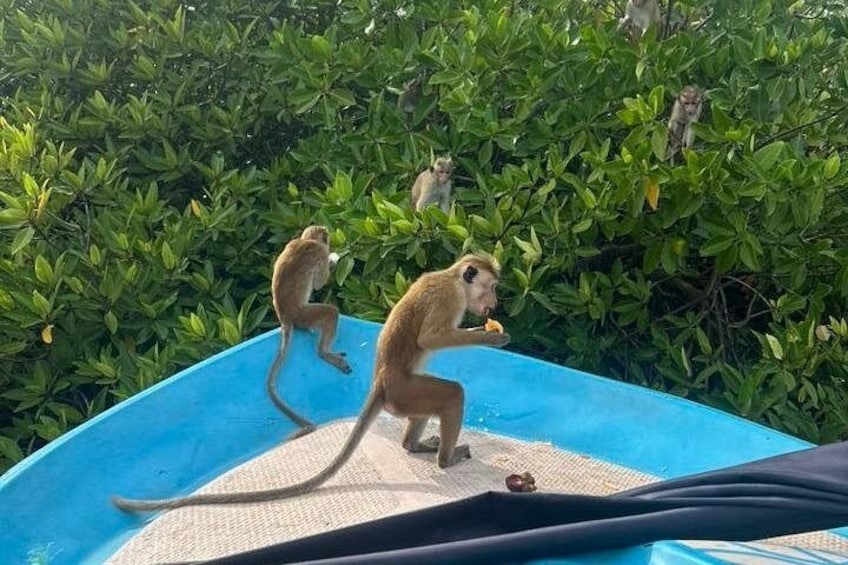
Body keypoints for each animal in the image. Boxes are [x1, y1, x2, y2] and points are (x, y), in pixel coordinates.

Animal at [111, 253, 510, 512]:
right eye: (490, 287)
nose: (493, 302)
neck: (452, 279)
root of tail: (381, 384)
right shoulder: (448, 299)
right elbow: (429, 338)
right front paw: (490, 337)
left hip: (405, 398)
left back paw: (414, 447)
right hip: (408, 391)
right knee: (452, 394)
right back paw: (445, 461)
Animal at [265, 225, 351, 440]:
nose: (330, 240)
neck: (306, 240)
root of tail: (285, 316)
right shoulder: (319, 252)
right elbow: (320, 282)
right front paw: (334, 258)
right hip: (305, 316)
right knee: (330, 313)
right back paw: (324, 353)